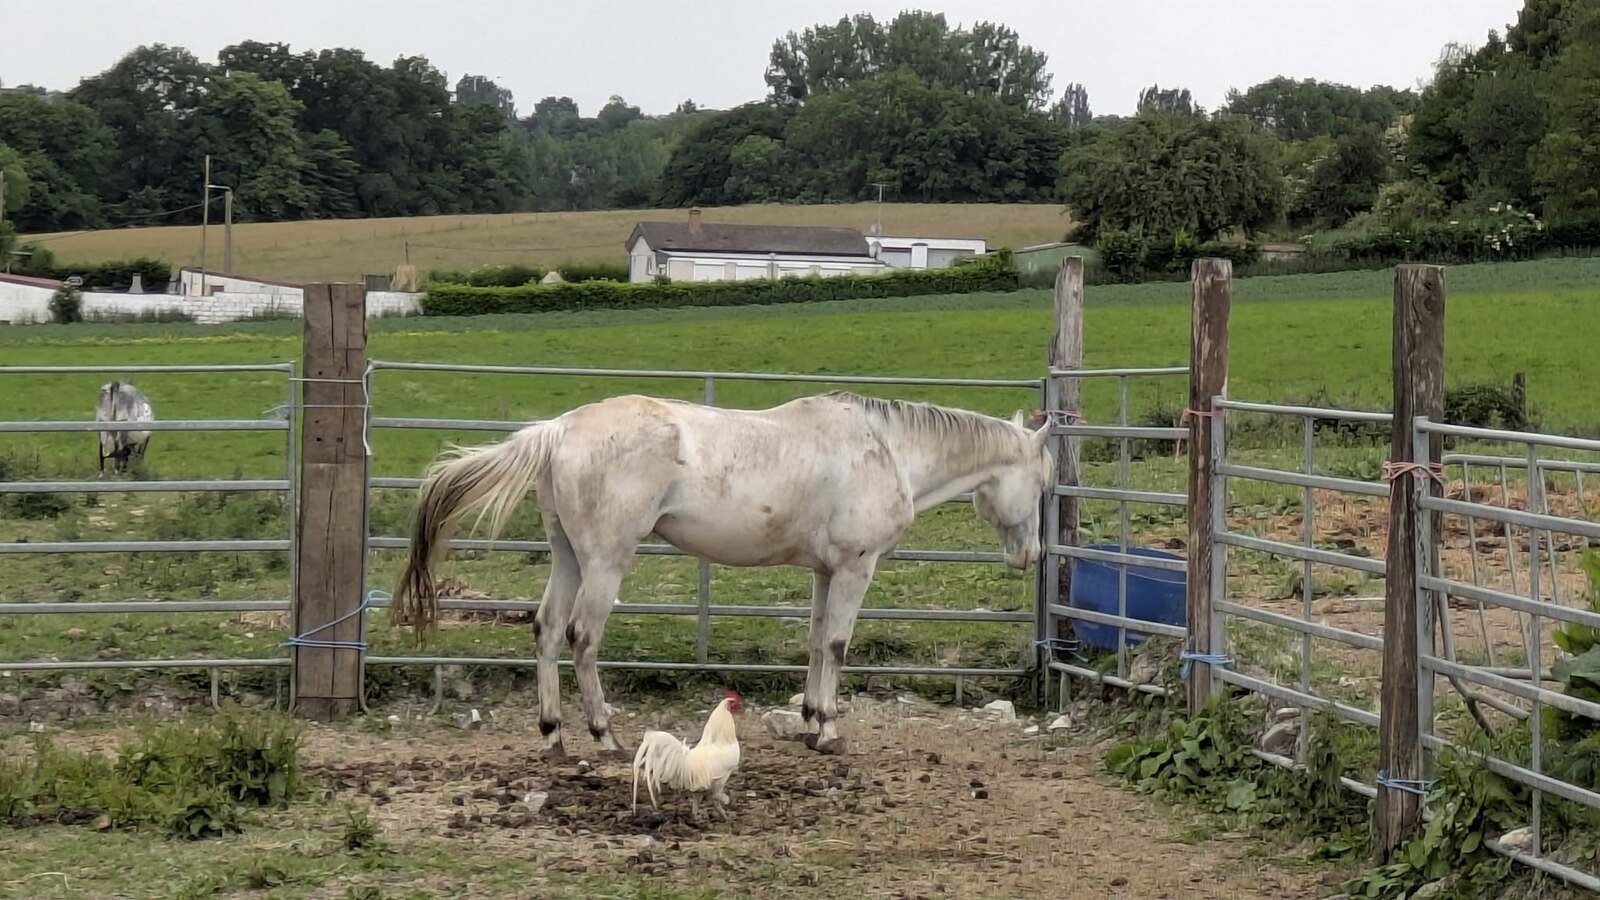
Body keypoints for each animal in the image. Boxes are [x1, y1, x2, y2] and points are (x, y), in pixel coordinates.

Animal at [391, 391, 1053, 756]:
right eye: (1044, 483)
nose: (1032, 555)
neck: (885, 448)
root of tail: (559, 430)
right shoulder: (855, 569)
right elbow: (839, 645)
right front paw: (830, 730)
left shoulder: (825, 572)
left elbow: (817, 643)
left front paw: (809, 721)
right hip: (606, 561)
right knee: (582, 637)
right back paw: (604, 736)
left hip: (569, 557)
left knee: (548, 630)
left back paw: (554, 734)